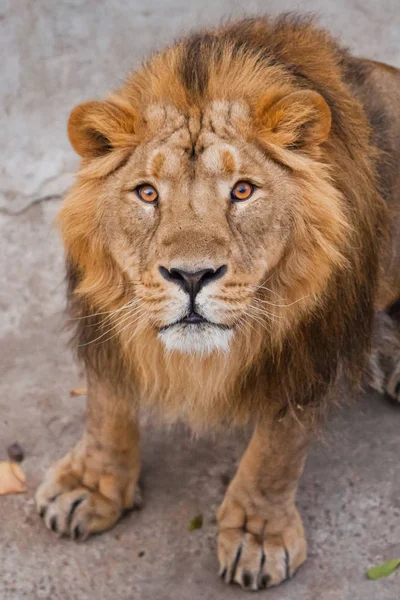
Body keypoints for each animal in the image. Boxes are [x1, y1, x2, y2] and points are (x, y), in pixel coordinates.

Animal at [36, 14, 400, 592]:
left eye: (243, 191)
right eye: (147, 193)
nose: (191, 275)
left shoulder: (310, 350)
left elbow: (277, 449)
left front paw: (257, 533)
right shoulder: (105, 322)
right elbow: (107, 402)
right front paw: (90, 486)